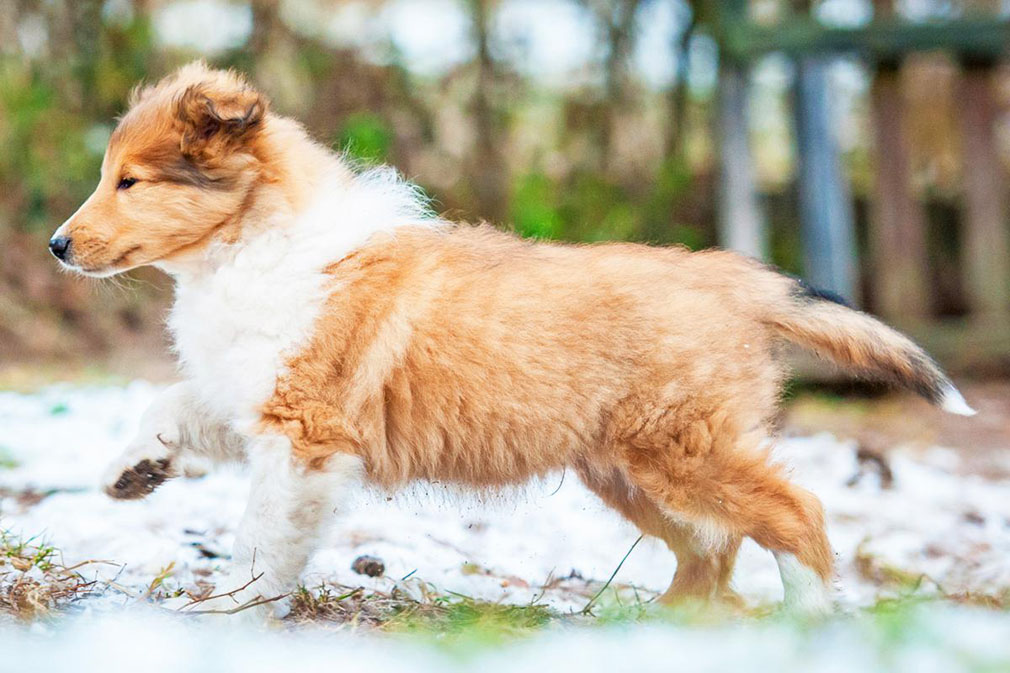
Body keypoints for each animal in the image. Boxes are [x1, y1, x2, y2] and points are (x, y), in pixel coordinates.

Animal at [51, 61, 973, 614]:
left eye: (130, 182)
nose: (58, 245)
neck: (249, 245)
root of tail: (737, 278)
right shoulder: (256, 392)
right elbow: (170, 401)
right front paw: (131, 470)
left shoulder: (303, 430)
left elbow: (262, 533)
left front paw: (231, 605)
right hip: (626, 469)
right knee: (715, 546)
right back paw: (660, 627)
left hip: (680, 448)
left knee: (795, 511)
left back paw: (808, 617)